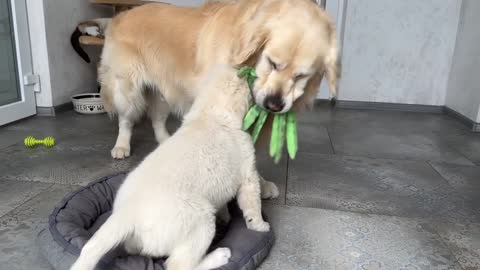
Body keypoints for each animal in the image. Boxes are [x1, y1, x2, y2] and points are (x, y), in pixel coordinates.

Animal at [70, 66, 270, 270]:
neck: (210, 113)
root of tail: (127, 213)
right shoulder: (248, 176)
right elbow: (253, 206)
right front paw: (260, 227)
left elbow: (223, 202)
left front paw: (226, 216)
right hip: (201, 218)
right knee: (177, 264)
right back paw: (219, 256)